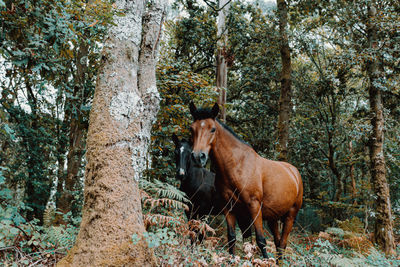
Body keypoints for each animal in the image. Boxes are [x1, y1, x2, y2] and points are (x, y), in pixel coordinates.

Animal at [189, 103, 304, 260]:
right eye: (192, 128)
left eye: (212, 129)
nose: (197, 156)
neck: (238, 165)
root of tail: (294, 172)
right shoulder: (229, 208)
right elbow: (232, 238)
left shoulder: (254, 206)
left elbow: (261, 240)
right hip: (273, 218)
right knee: (278, 242)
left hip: (290, 215)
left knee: (282, 244)